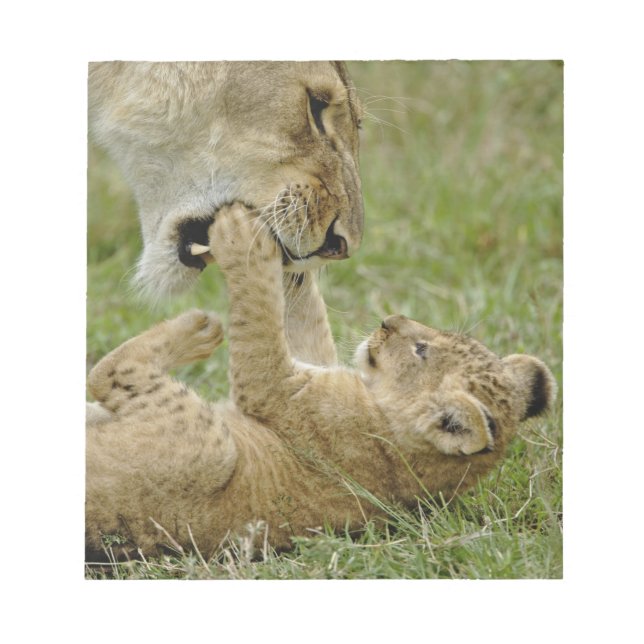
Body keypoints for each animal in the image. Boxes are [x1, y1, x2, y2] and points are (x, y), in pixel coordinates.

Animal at [86, 205, 556, 560]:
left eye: (421, 349)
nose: (389, 321)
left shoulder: (279, 390)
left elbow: (260, 324)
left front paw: (243, 236)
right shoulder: (315, 366)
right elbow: (304, 318)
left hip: (208, 449)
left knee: (106, 373)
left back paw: (199, 328)